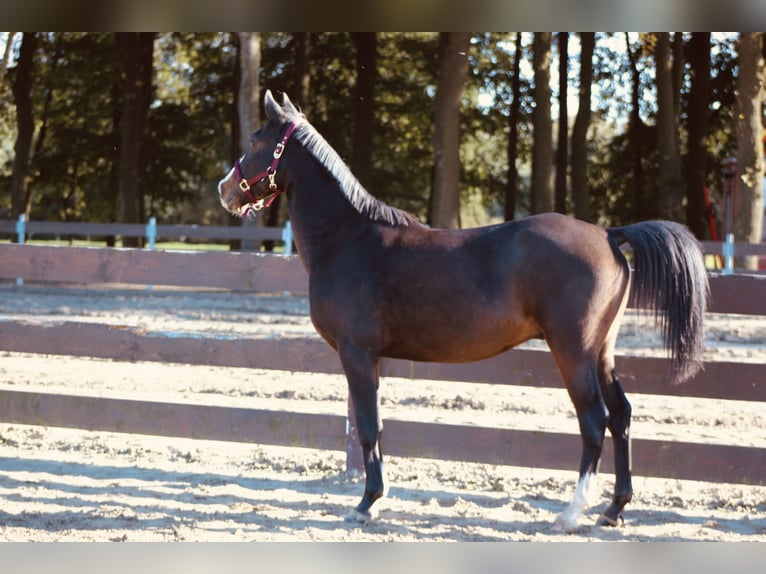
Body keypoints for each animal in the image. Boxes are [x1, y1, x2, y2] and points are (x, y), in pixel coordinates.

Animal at [219, 90, 712, 536]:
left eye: (258, 140)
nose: (225, 190)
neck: (348, 239)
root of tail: (610, 234)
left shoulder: (356, 354)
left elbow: (367, 427)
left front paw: (367, 503)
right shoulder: (370, 357)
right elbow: (376, 426)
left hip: (573, 352)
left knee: (595, 423)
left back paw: (571, 514)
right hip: (601, 353)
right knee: (623, 416)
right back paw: (613, 510)